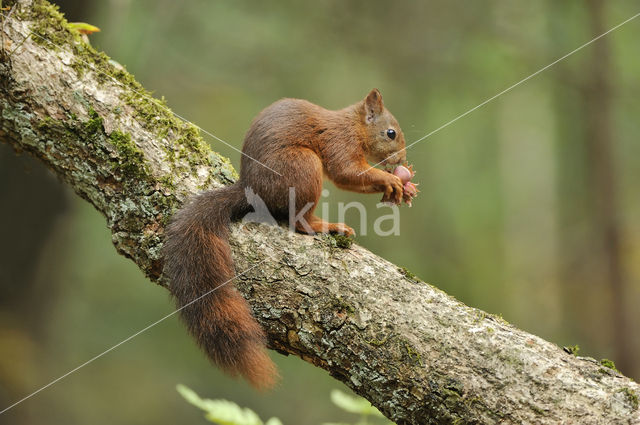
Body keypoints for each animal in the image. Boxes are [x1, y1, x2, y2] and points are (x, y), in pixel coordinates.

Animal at [164, 88, 404, 388]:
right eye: (390, 133)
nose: (401, 160)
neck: (354, 125)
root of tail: (250, 190)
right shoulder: (340, 142)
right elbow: (347, 171)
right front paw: (389, 180)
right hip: (303, 167)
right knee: (299, 221)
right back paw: (325, 226)